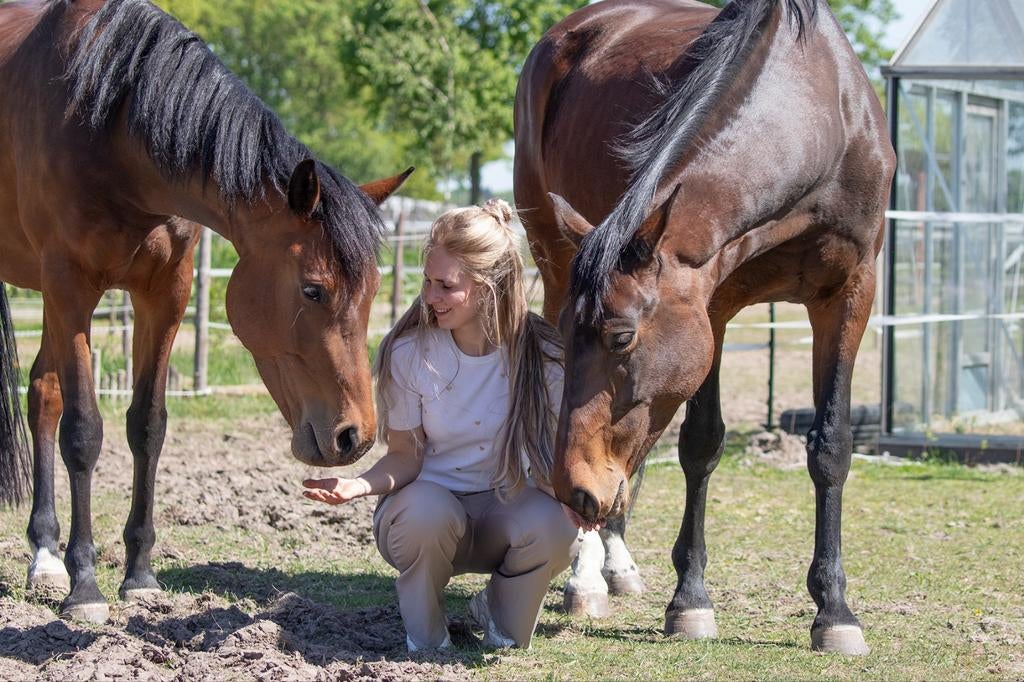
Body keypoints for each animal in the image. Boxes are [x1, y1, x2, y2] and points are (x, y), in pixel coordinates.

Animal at [0, 0, 410, 623]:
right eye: (313, 290)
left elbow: (147, 426)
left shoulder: (165, 293)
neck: (110, 123)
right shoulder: (70, 287)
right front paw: (86, 586)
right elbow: (84, 431)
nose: (355, 438)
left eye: (372, 293)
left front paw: (139, 575)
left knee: (43, 391)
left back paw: (44, 555)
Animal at [514, 0, 894, 654]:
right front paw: (690, 601)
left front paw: (835, 612)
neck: (815, 117)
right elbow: (701, 443)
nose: (575, 491)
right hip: (555, 258)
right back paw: (588, 575)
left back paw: (615, 561)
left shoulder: (851, 293)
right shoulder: (712, 304)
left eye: (621, 337)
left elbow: (832, 445)